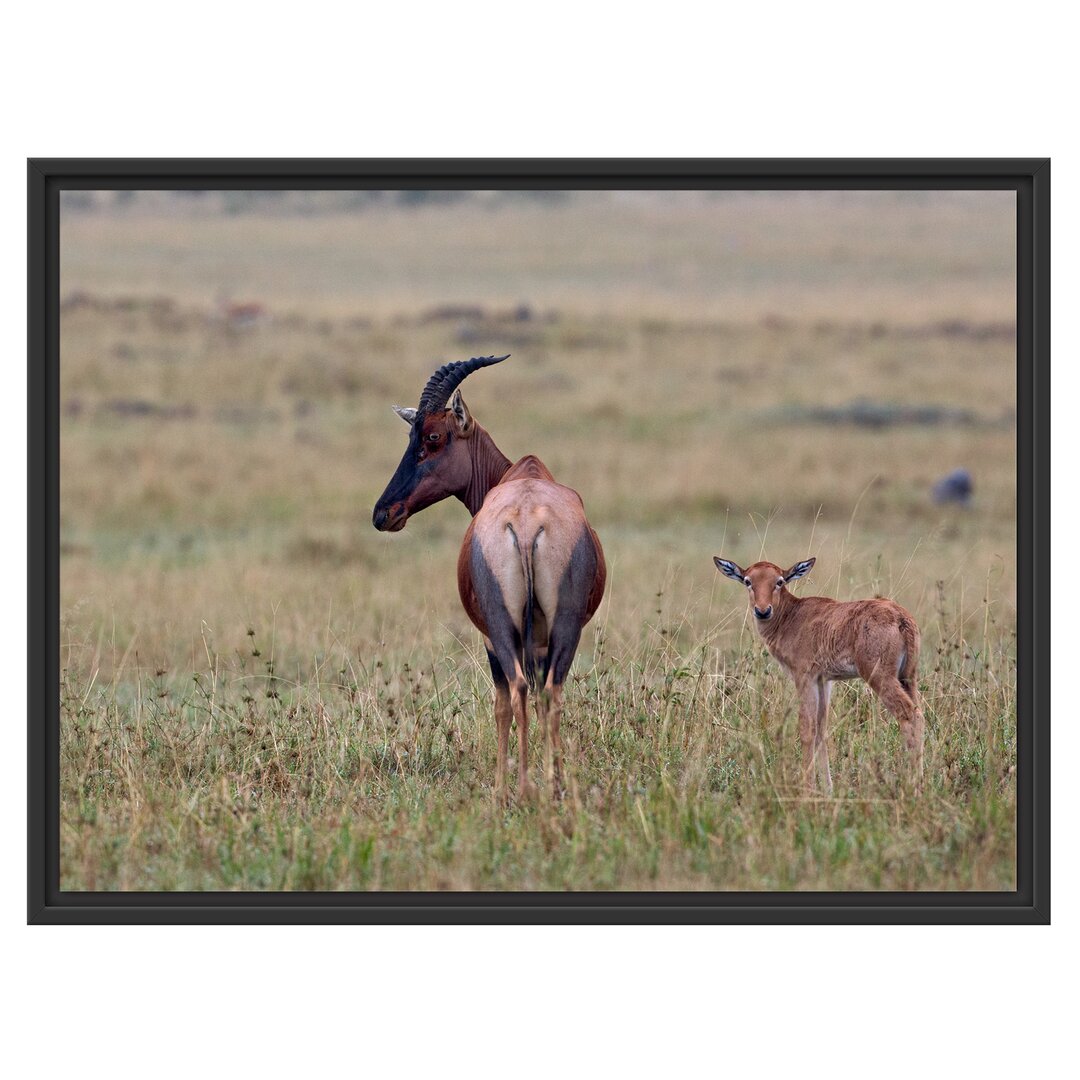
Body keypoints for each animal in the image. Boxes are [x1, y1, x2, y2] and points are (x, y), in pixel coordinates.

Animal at [375, 354, 604, 803]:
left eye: (433, 437)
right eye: (410, 435)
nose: (383, 513)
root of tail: (527, 519)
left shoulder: (489, 637)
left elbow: (500, 705)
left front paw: (500, 786)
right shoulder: (539, 639)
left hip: (503, 625)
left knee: (516, 691)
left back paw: (521, 788)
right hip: (565, 625)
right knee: (548, 692)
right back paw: (548, 786)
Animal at [712, 557, 924, 794]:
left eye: (779, 581)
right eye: (748, 581)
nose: (763, 611)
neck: (793, 615)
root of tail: (901, 617)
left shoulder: (804, 678)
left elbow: (807, 730)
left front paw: (808, 788)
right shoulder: (824, 681)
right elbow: (822, 730)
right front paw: (828, 788)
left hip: (880, 676)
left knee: (910, 715)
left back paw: (914, 787)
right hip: (908, 677)